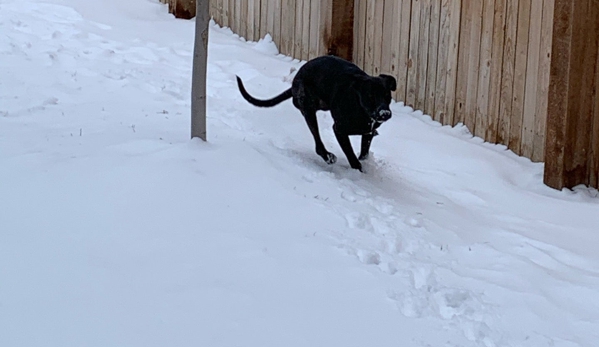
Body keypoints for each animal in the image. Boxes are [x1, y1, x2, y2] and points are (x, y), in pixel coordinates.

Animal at [237, 54, 396, 173]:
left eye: (387, 95)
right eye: (370, 96)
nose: (385, 113)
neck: (359, 106)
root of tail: (295, 81)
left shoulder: (368, 132)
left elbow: (364, 151)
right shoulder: (339, 130)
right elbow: (350, 154)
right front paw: (358, 170)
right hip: (308, 110)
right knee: (318, 143)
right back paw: (327, 156)